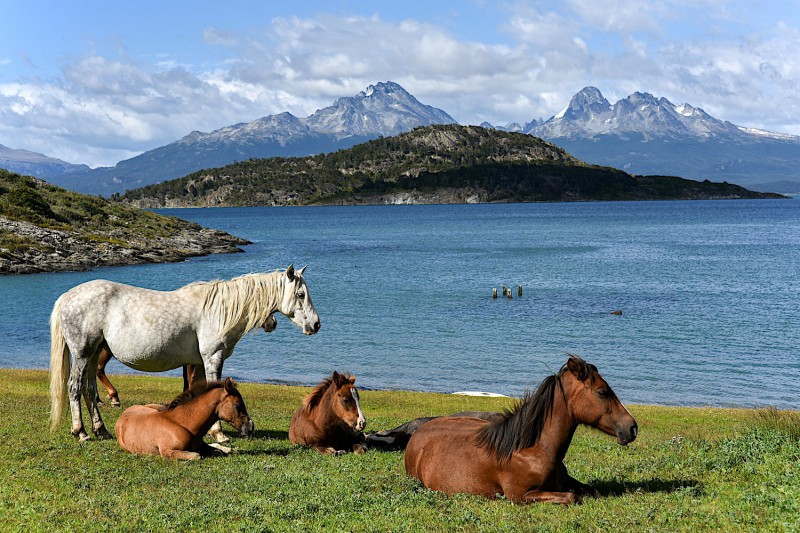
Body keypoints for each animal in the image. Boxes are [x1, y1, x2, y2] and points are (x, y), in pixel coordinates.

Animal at [48, 264, 318, 442]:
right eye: (300, 294)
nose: (316, 325)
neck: (219, 309)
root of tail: (67, 297)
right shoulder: (212, 358)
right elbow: (214, 389)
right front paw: (219, 433)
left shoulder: (196, 363)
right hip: (82, 353)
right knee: (74, 387)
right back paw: (81, 432)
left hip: (94, 353)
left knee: (89, 389)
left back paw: (101, 430)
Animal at [115, 376, 253, 460]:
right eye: (238, 405)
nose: (250, 427)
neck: (182, 423)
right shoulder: (167, 451)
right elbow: (197, 456)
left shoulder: (201, 445)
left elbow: (216, 451)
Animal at [406, 356, 636, 504]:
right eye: (602, 392)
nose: (632, 428)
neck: (533, 449)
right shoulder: (520, 496)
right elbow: (572, 497)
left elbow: (591, 490)